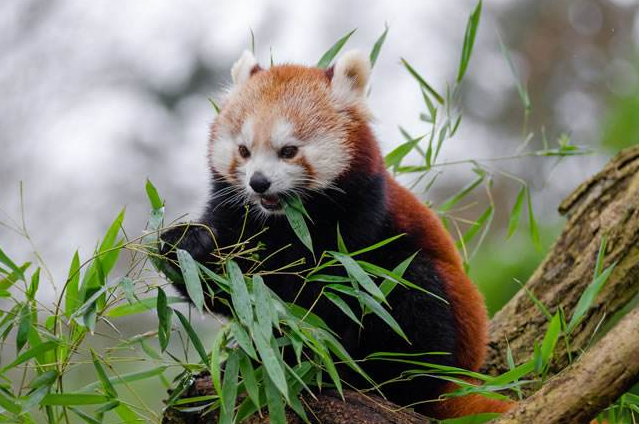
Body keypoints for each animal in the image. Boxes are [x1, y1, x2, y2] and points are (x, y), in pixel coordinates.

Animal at [161, 48, 516, 418]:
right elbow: (233, 288)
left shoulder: (358, 222)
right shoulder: (236, 213)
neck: (285, 222)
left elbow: (330, 296)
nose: (258, 182)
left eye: (288, 151)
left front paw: (308, 354)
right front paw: (186, 246)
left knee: (412, 291)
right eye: (244, 151)